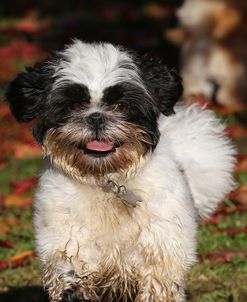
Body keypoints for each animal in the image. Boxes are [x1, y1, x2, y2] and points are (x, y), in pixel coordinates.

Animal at [6, 39, 235, 300]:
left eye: (120, 105)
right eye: (73, 105)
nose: (96, 117)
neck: (107, 180)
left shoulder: (160, 257)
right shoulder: (69, 247)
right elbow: (72, 275)